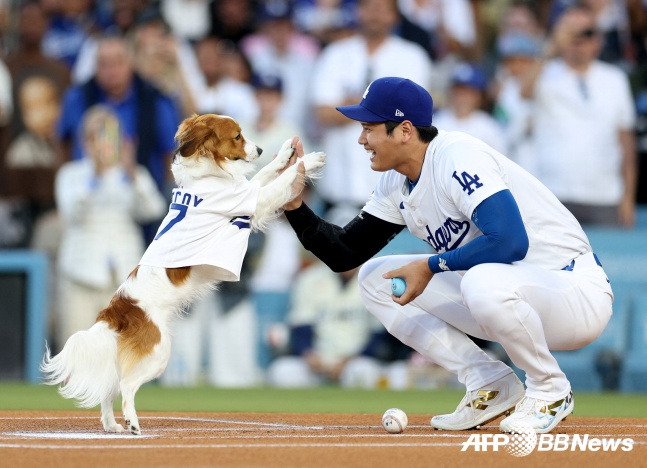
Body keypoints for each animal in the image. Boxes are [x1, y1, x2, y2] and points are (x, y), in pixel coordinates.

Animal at [39, 113, 324, 436]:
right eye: (238, 136)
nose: (261, 149)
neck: (206, 174)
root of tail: (116, 310)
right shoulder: (253, 200)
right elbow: (280, 182)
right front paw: (309, 161)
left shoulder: (246, 192)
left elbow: (264, 174)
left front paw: (287, 153)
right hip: (159, 354)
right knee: (126, 386)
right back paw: (132, 422)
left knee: (109, 389)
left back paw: (112, 425)